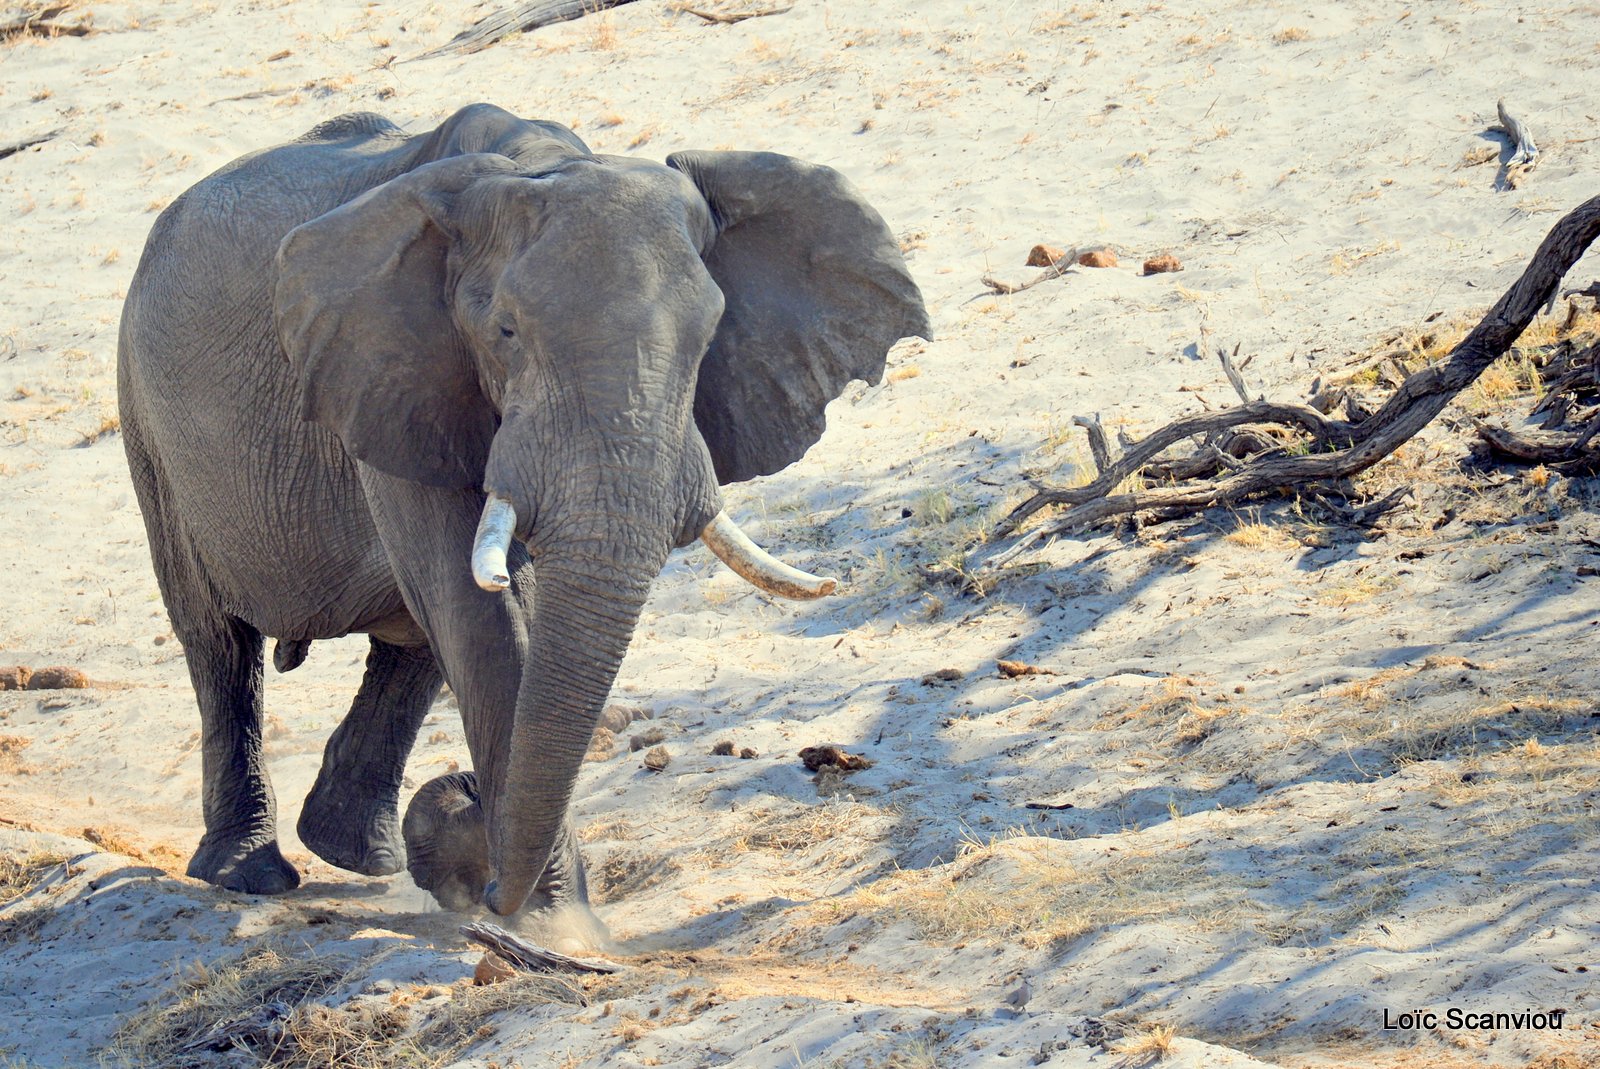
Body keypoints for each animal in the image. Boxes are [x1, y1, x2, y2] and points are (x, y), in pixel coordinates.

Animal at [118, 100, 934, 921]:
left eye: (708, 339)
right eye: (505, 332)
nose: (484, 883)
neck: (535, 162)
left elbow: (497, 607)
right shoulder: (394, 362)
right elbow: (476, 606)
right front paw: (551, 921)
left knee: (410, 642)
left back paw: (359, 854)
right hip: (147, 419)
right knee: (221, 646)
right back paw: (250, 873)